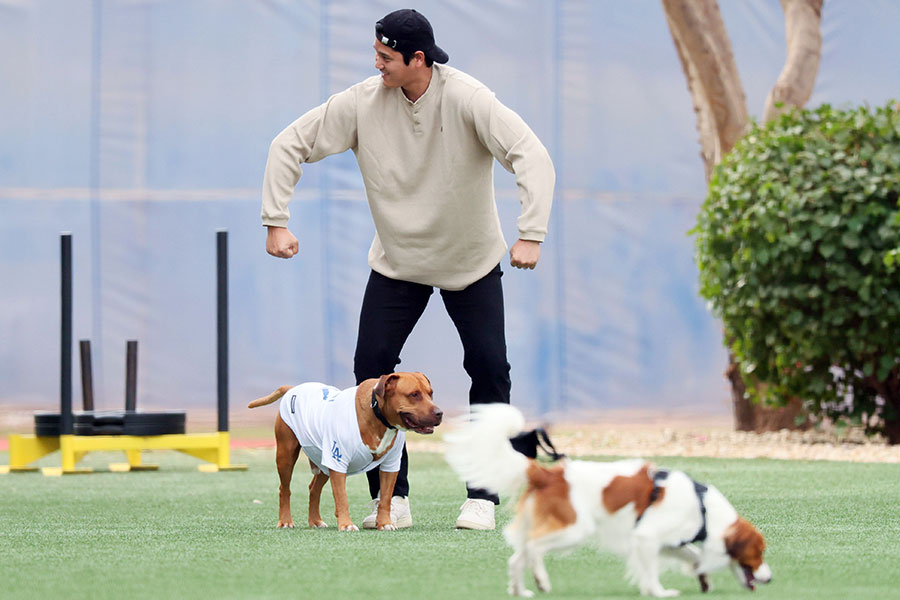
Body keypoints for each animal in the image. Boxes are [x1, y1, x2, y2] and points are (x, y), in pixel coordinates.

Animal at [248, 372, 442, 532]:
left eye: (431, 393)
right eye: (414, 394)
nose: (439, 412)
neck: (377, 415)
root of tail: (293, 389)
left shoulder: (390, 465)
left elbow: (386, 499)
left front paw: (385, 523)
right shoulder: (338, 461)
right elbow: (342, 497)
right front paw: (346, 524)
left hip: (323, 461)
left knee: (313, 489)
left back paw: (315, 521)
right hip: (286, 455)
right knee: (285, 489)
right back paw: (286, 521)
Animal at [446, 406, 768, 596]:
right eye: (759, 553)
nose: (770, 579)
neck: (702, 507)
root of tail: (549, 474)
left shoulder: (668, 541)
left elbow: (694, 556)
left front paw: (703, 579)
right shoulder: (646, 538)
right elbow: (651, 571)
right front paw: (659, 592)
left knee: (517, 558)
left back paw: (521, 591)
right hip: (575, 529)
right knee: (535, 549)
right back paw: (542, 581)